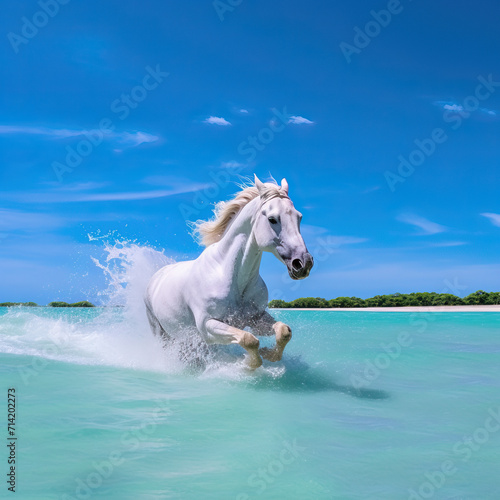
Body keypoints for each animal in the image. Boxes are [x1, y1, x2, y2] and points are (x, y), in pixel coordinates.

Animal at [143, 175, 312, 368]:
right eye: (272, 219)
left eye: (299, 217)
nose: (303, 263)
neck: (232, 276)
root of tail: (156, 277)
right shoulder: (207, 326)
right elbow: (249, 340)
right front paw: (250, 364)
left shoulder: (256, 318)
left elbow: (283, 331)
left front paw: (268, 354)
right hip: (160, 332)